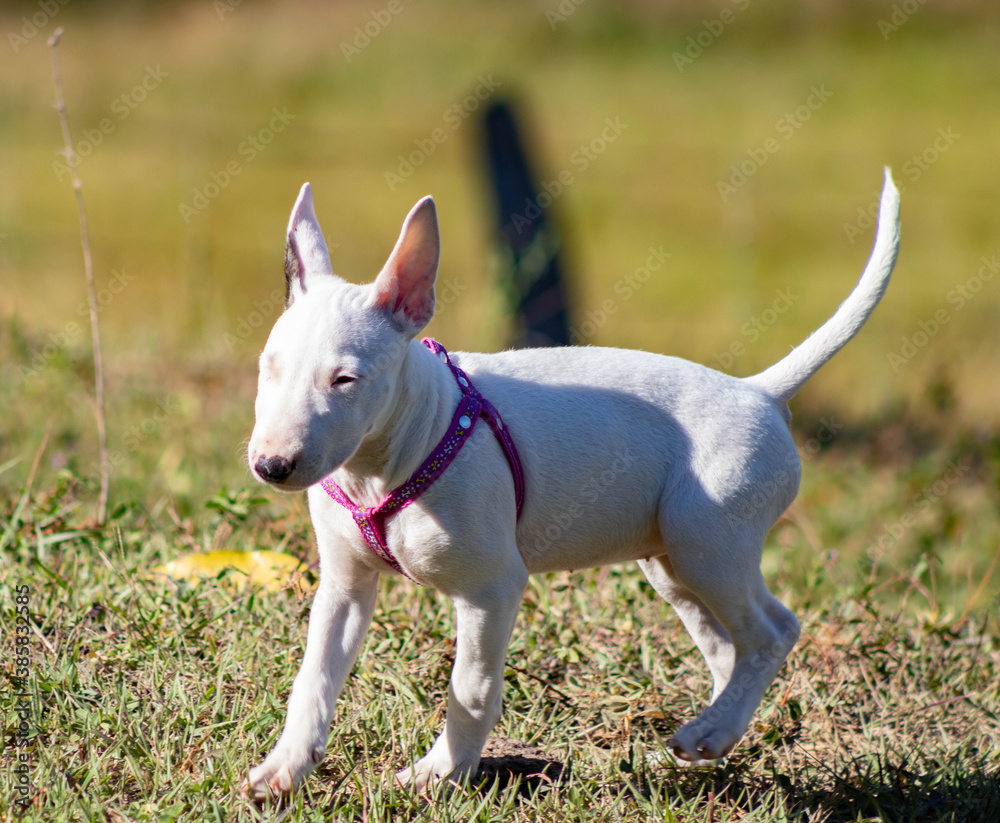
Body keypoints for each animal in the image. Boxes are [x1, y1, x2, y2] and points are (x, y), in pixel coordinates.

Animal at [246, 169, 904, 800]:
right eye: (268, 368)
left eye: (346, 380)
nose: (271, 466)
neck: (385, 459)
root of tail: (759, 392)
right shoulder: (345, 584)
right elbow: (315, 676)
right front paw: (282, 771)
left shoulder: (492, 588)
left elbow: (471, 686)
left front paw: (440, 775)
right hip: (673, 562)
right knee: (732, 647)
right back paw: (708, 737)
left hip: (710, 541)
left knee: (772, 633)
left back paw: (713, 730)